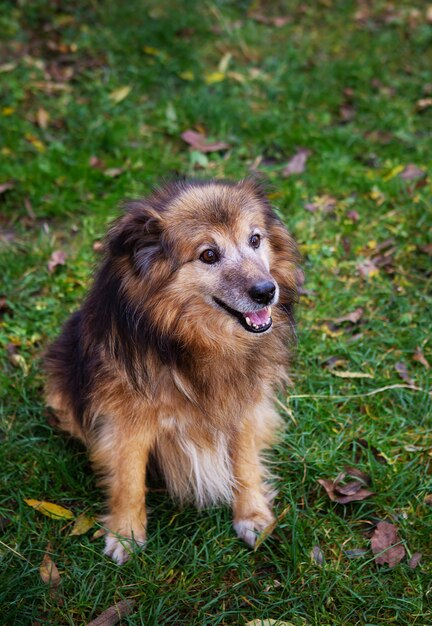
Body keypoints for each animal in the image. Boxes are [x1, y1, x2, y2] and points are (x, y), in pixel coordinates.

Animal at [44, 177, 300, 560]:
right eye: (208, 254)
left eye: (255, 239)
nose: (267, 291)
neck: (198, 342)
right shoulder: (127, 419)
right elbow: (128, 478)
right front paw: (125, 532)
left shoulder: (245, 404)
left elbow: (245, 462)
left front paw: (252, 515)